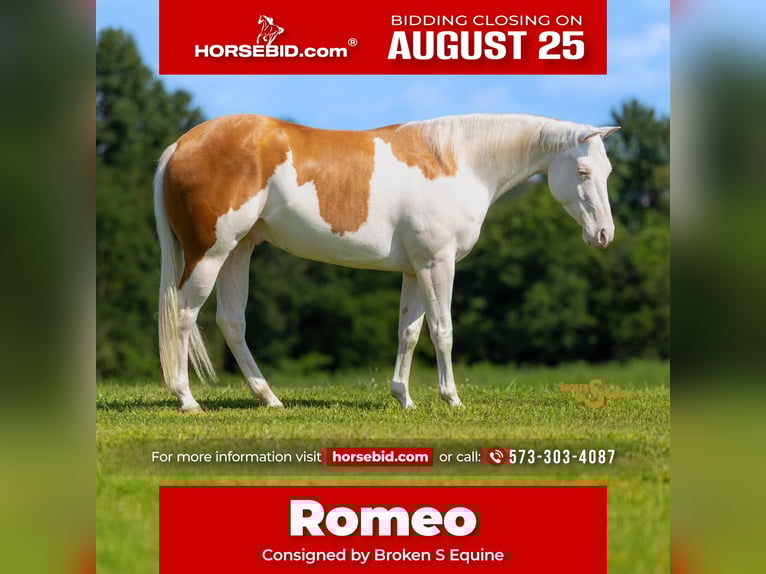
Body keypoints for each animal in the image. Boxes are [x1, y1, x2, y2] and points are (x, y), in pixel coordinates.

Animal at [153, 113, 619, 413]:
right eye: (582, 172)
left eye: (609, 170)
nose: (604, 235)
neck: (456, 161)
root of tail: (181, 144)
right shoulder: (437, 264)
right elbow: (442, 331)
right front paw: (451, 399)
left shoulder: (415, 270)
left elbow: (409, 333)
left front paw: (404, 398)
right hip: (211, 254)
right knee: (185, 314)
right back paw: (187, 400)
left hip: (239, 252)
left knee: (232, 322)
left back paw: (268, 398)